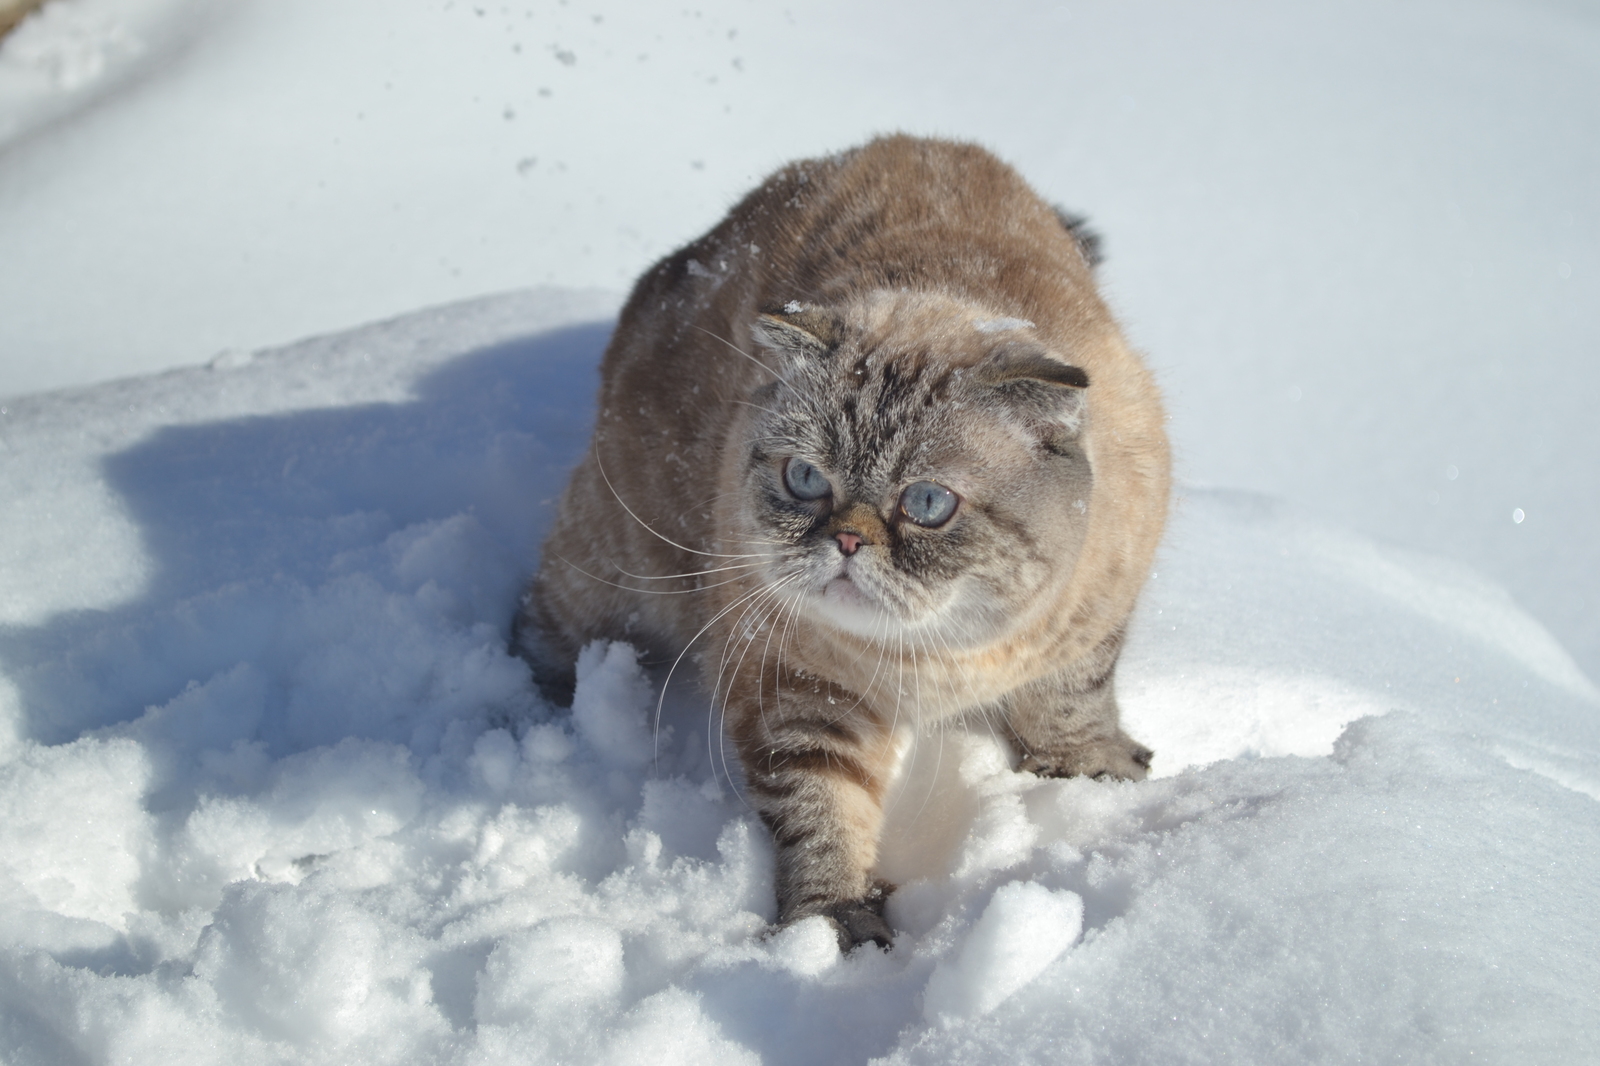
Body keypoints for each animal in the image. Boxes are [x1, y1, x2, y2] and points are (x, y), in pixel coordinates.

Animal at [518, 132, 1171, 947]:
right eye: (805, 479)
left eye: (927, 503)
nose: (849, 543)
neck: (943, 658)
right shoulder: (803, 691)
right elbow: (820, 813)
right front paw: (831, 926)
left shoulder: (1091, 623)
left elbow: (1070, 705)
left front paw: (1092, 779)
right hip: (612, 571)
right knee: (541, 628)